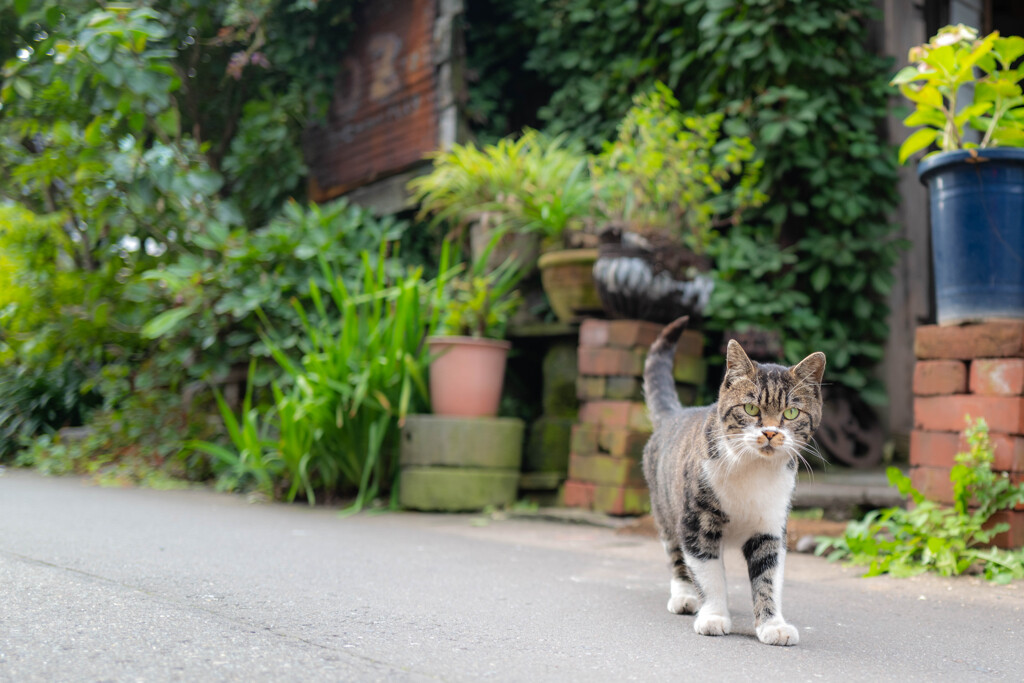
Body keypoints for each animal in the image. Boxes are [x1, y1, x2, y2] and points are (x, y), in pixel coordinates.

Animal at [643, 315, 827, 647]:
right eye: (751, 408)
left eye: (792, 412)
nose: (770, 432)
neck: (754, 470)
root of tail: (675, 413)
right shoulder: (697, 522)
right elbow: (709, 573)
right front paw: (714, 616)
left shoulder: (771, 526)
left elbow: (768, 577)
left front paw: (772, 625)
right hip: (665, 508)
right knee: (675, 555)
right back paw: (684, 596)